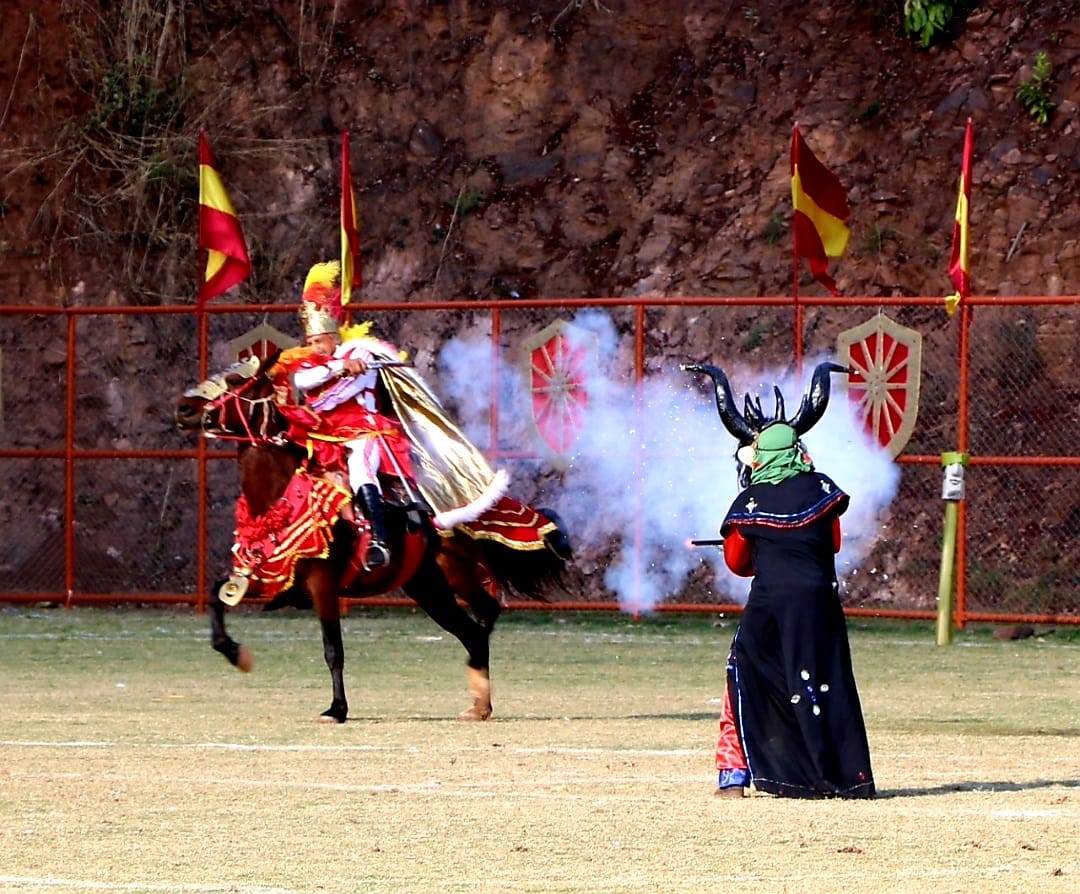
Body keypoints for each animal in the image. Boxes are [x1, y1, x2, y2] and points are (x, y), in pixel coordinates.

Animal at [172, 351, 570, 721]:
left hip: (454, 574)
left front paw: (337, 708)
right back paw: (478, 702)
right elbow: (217, 598)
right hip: (427, 587)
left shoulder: (322, 585)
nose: (183, 407)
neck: (278, 499)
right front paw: (237, 654)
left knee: (484, 614)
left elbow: (333, 649)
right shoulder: (269, 579)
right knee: (473, 628)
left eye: (237, 382)